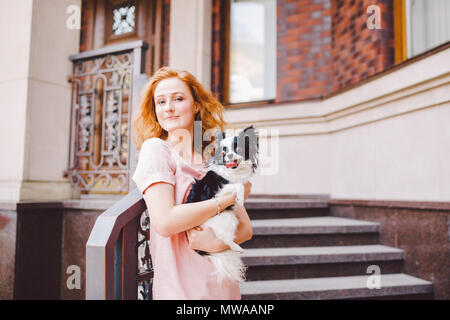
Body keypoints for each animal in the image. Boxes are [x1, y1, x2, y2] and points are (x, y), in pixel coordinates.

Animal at [185, 126, 258, 284]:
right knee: (223, 238)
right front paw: (240, 198)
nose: (229, 155)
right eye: (223, 152)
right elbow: (237, 185)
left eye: (238, 148)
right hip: (228, 218)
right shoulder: (219, 192)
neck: (234, 171)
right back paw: (236, 247)